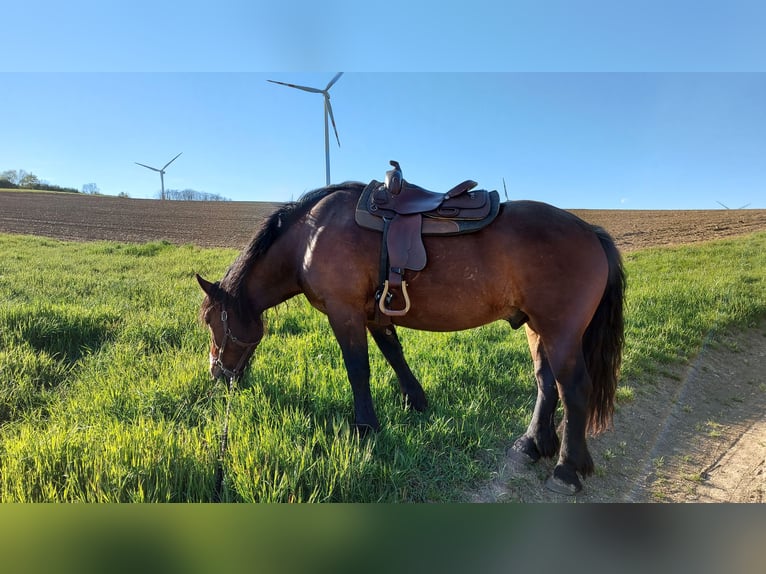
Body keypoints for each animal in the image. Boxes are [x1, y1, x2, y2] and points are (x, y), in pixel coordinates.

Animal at [196, 181, 624, 496]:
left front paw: (366, 427)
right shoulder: (376, 313)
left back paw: (567, 469)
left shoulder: (344, 311)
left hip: (560, 330)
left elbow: (359, 369)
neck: (310, 235)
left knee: (574, 389)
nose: (218, 375)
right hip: (539, 328)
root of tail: (590, 231)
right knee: (546, 383)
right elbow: (393, 353)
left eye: (211, 321)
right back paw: (533, 443)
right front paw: (415, 400)